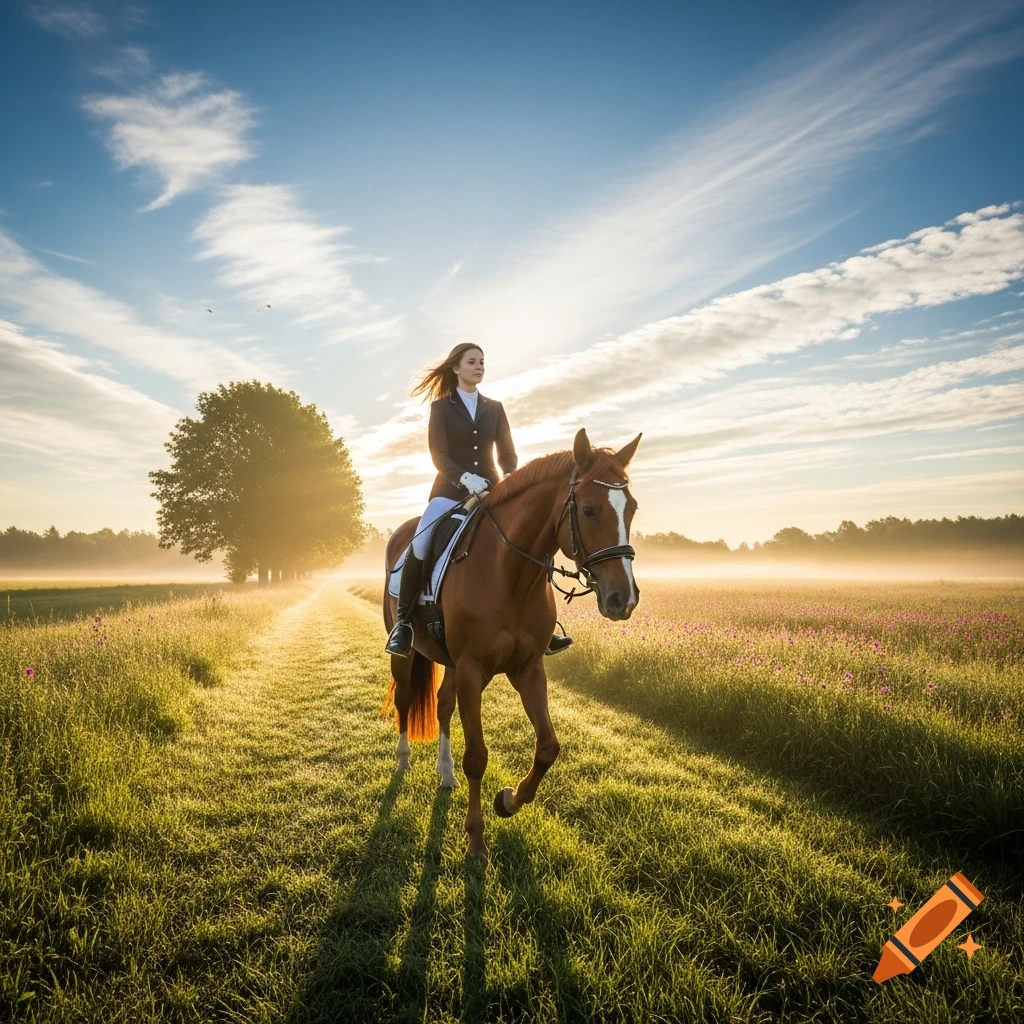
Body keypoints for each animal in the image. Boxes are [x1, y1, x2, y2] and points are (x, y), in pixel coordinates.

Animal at [382, 427, 641, 860]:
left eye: (632, 509)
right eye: (588, 510)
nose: (624, 599)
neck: (511, 574)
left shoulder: (528, 669)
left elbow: (549, 746)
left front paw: (508, 801)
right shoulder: (473, 671)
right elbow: (477, 757)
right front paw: (475, 839)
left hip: (451, 662)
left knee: (443, 704)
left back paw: (445, 773)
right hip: (408, 655)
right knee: (404, 699)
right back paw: (403, 762)